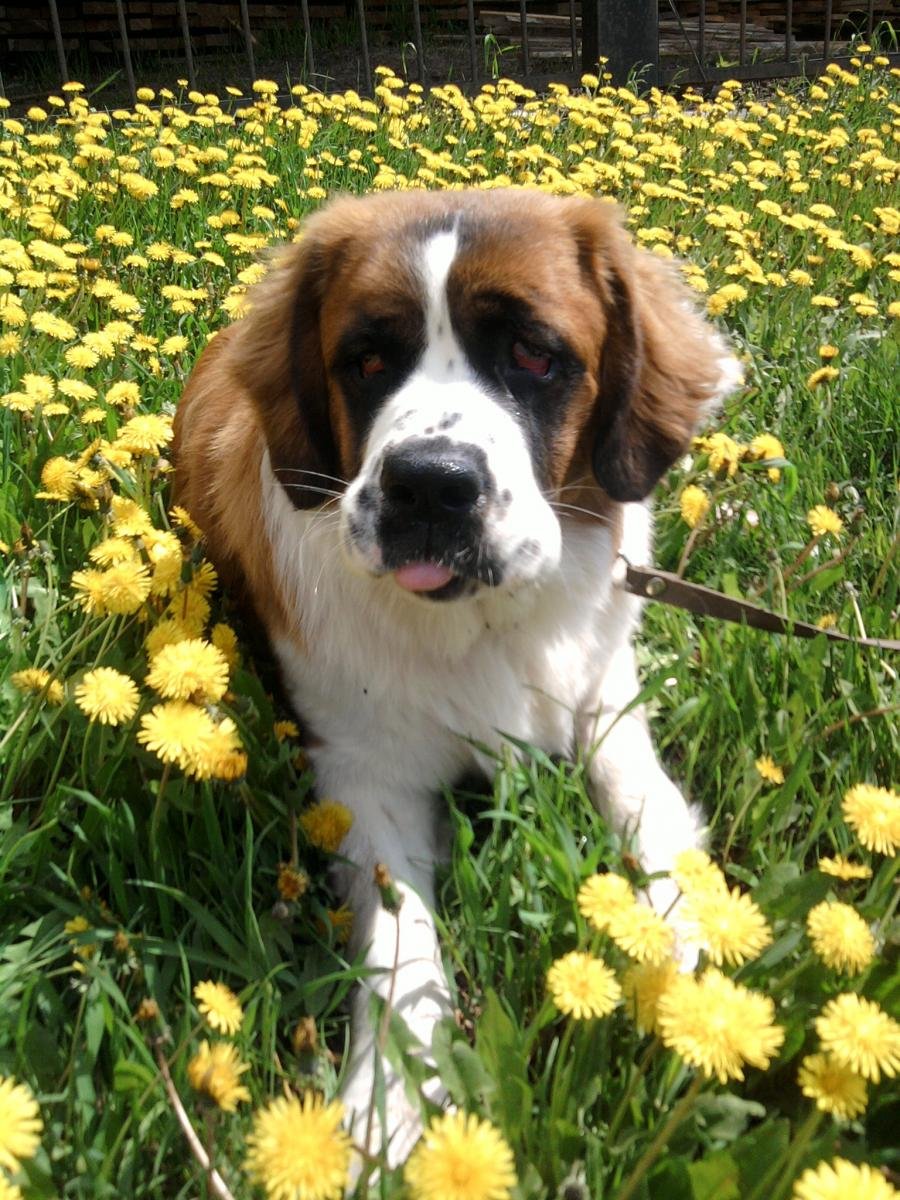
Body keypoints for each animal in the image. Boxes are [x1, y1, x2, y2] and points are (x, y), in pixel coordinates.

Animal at [172, 188, 741, 1162]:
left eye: (534, 355)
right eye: (366, 360)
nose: (430, 485)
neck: (483, 625)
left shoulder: (605, 701)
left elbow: (647, 805)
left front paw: (682, 956)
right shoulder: (362, 774)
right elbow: (402, 938)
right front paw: (389, 1098)